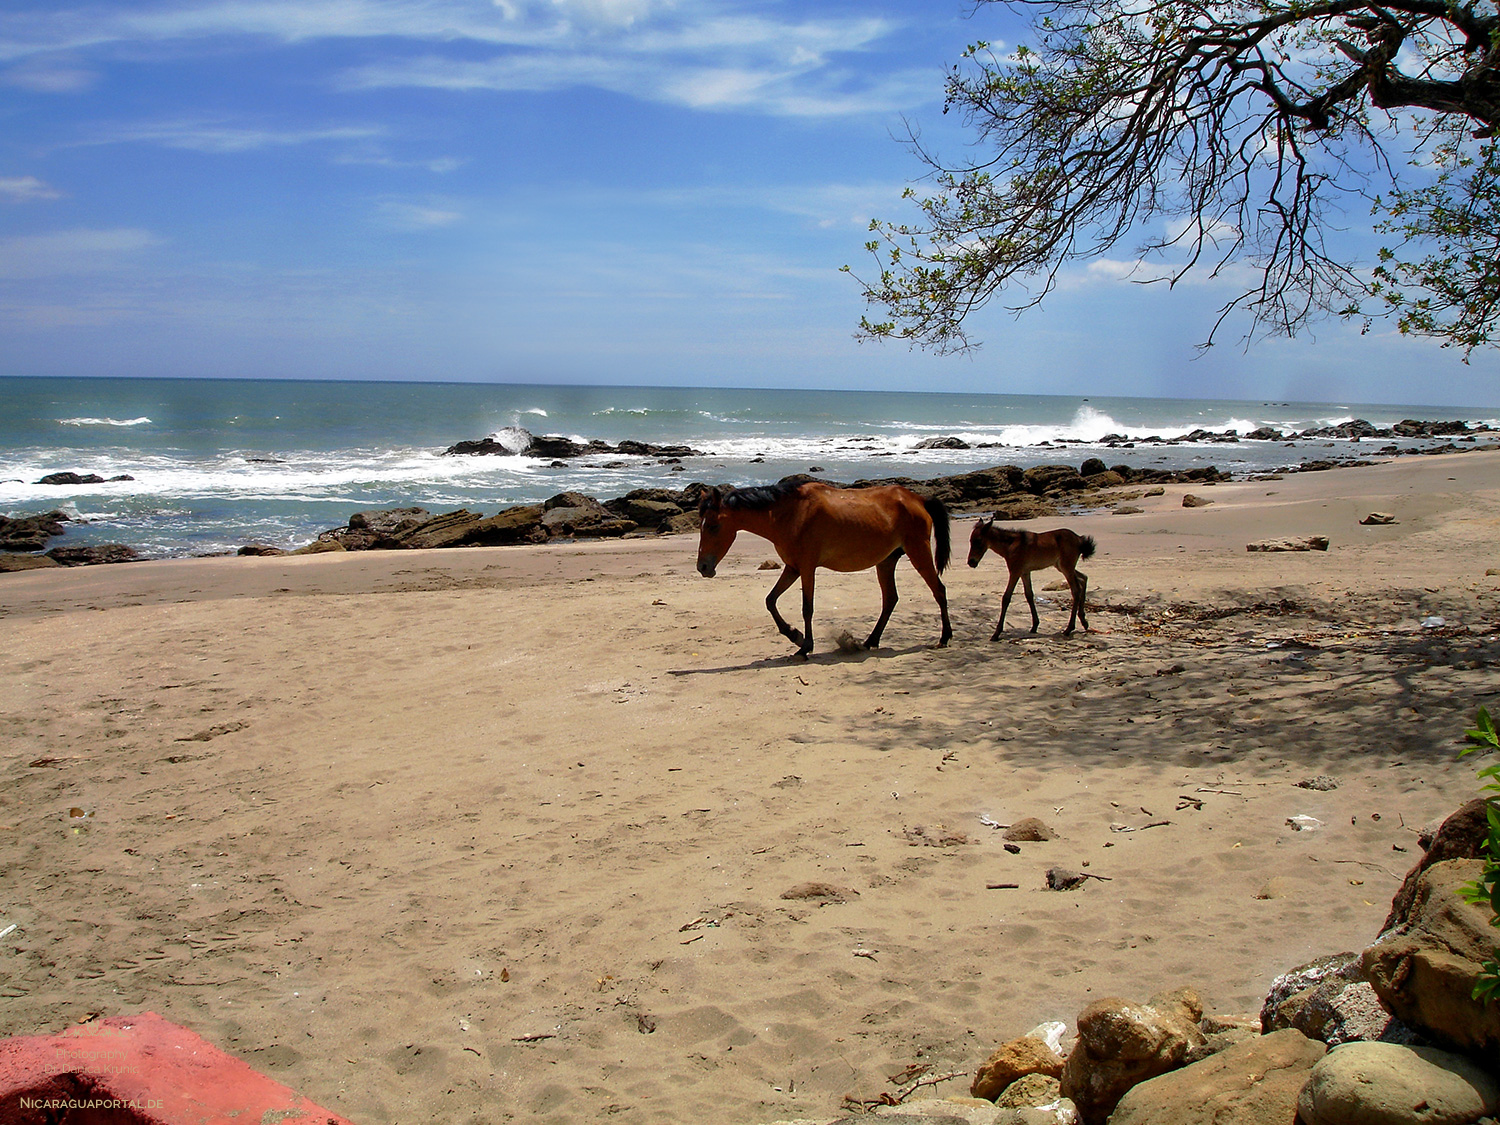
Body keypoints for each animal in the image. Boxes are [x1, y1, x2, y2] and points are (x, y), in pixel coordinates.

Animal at [699, 477, 954, 660]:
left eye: (712, 526)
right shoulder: (793, 568)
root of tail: (919, 499)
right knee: (890, 599)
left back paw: (944, 637)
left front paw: (804, 647)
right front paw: (795, 635)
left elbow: (807, 608)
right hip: (886, 561)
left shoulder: (807, 568)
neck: (789, 513)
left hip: (918, 551)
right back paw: (870, 641)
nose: (703, 567)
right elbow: (770, 600)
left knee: (938, 590)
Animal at [966, 522, 1098, 642]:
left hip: (1066, 567)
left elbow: (1006, 598)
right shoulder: (1025, 572)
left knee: (1076, 590)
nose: (971, 562)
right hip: (1061, 566)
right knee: (1083, 578)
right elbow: (1029, 595)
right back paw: (1084, 621)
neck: (1011, 545)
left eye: (978, 540)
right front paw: (1035, 625)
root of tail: (1079, 539)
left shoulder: (1015, 571)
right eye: (970, 541)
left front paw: (996, 633)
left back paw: (1069, 628)